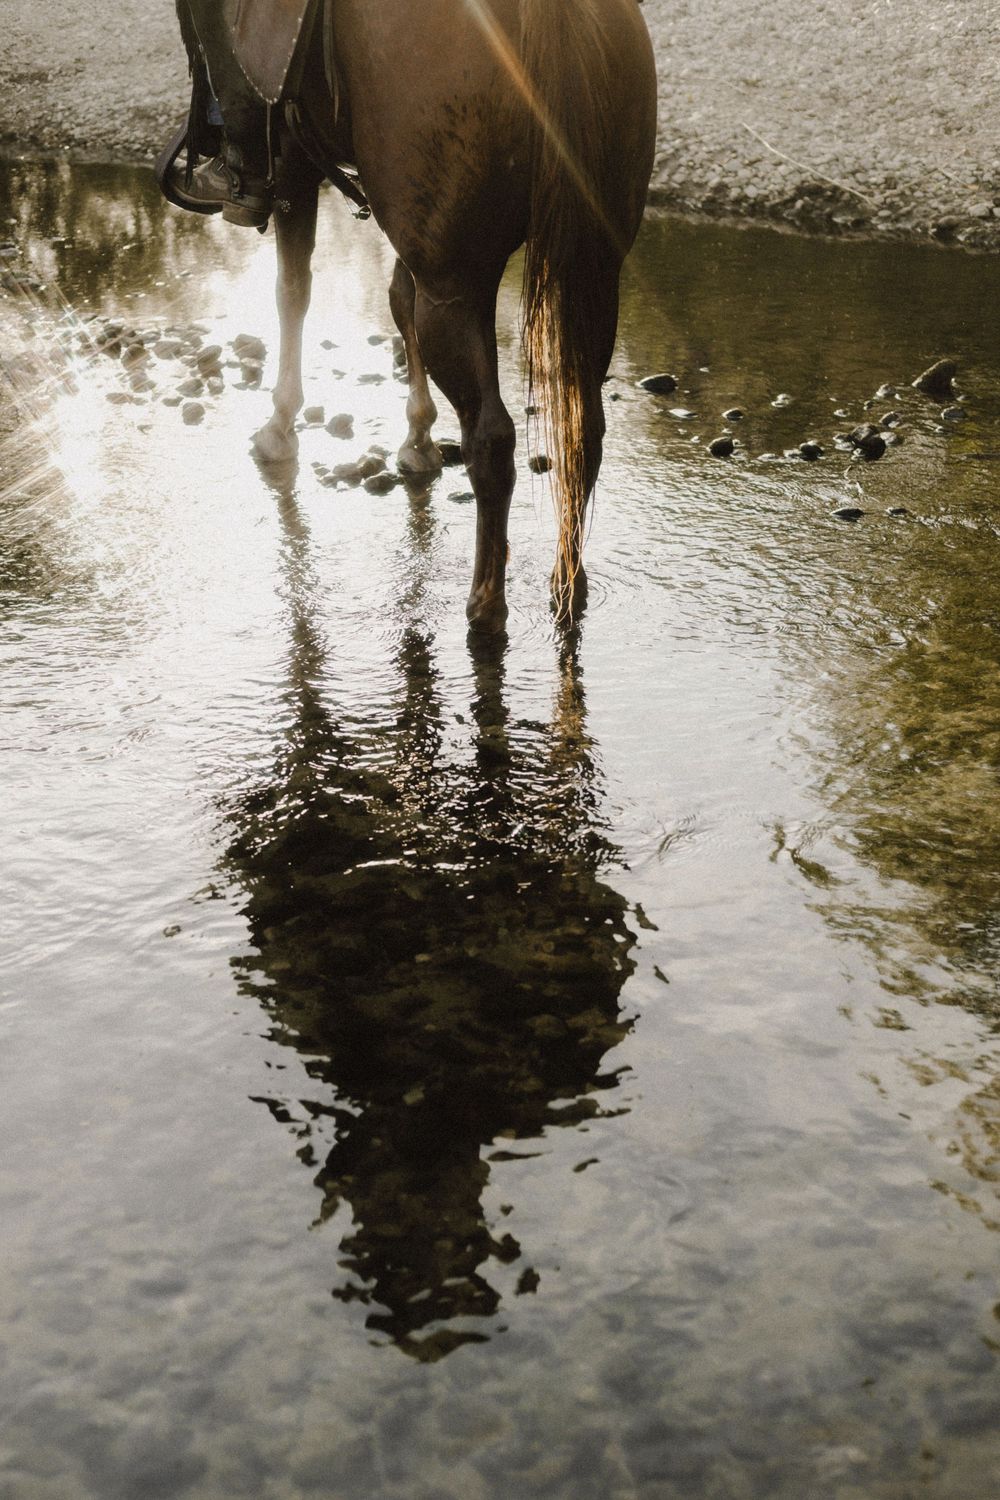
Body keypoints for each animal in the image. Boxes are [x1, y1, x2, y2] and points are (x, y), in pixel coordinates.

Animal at [178, 0, 657, 630]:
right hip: (593, 273)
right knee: (584, 426)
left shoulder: (295, 168)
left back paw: (486, 602)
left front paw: (280, 426)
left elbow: (293, 291)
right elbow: (393, 297)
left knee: (492, 438)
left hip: (456, 286)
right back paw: (567, 580)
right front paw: (419, 436)